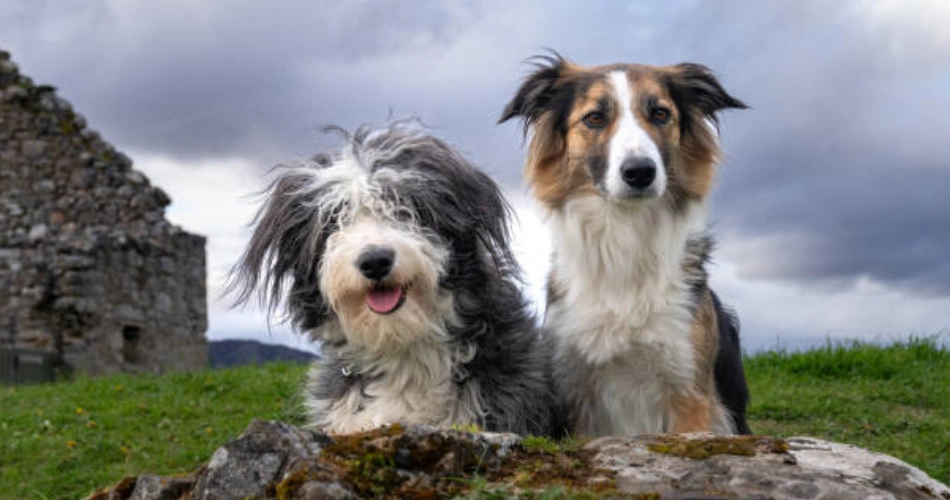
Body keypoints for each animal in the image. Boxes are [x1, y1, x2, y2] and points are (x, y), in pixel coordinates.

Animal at [502, 54, 756, 436]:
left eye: (661, 114)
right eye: (595, 117)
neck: (625, 233)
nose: (640, 172)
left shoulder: (689, 392)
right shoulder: (577, 389)